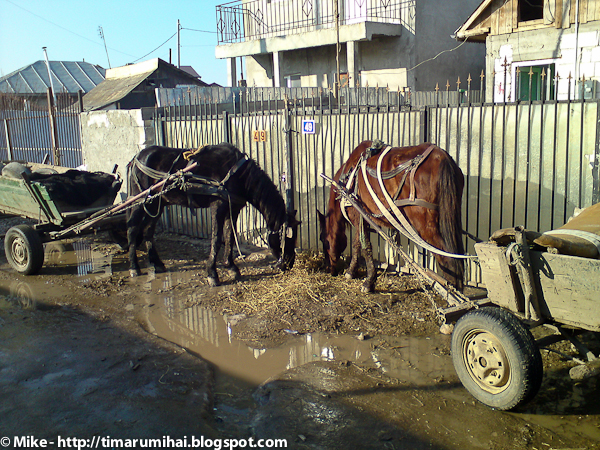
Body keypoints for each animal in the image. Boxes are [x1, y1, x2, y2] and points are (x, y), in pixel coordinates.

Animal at [126, 142, 300, 286]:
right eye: (288, 238)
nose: (289, 264)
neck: (238, 175)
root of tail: (136, 158)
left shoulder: (233, 208)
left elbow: (229, 236)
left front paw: (231, 268)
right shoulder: (218, 206)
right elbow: (216, 239)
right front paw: (212, 274)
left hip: (157, 203)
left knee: (148, 230)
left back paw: (157, 263)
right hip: (140, 200)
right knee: (132, 229)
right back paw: (134, 267)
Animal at [318, 142, 464, 296]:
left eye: (323, 240)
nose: (327, 268)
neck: (348, 179)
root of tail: (441, 157)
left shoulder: (358, 216)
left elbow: (364, 246)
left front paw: (369, 281)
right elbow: (357, 244)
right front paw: (351, 271)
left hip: (425, 226)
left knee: (447, 257)